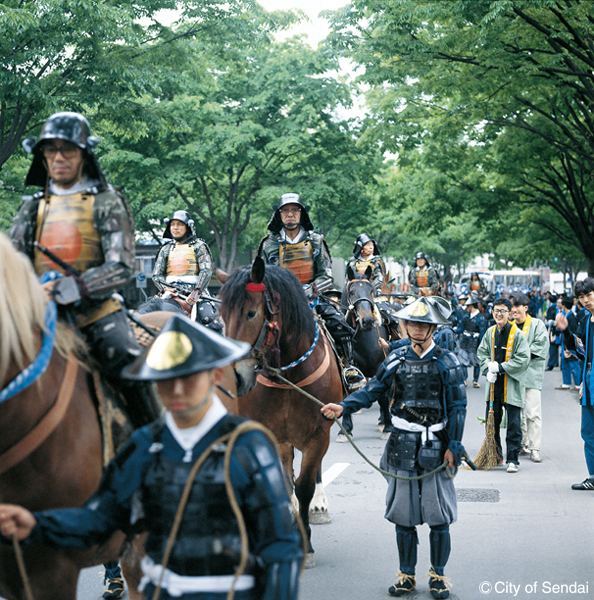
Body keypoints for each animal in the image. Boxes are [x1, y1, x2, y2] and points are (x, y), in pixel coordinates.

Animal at [216, 258, 342, 568]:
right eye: (221, 317)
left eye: (251, 313)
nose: (234, 378)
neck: (289, 373)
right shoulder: (272, 433)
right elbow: (284, 486)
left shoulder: (319, 434)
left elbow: (304, 486)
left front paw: (306, 544)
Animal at [342, 268, 394, 440]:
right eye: (352, 292)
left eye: (371, 291)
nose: (368, 321)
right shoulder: (346, 368)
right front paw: (345, 429)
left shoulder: (381, 367)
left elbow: (384, 396)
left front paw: (388, 427)